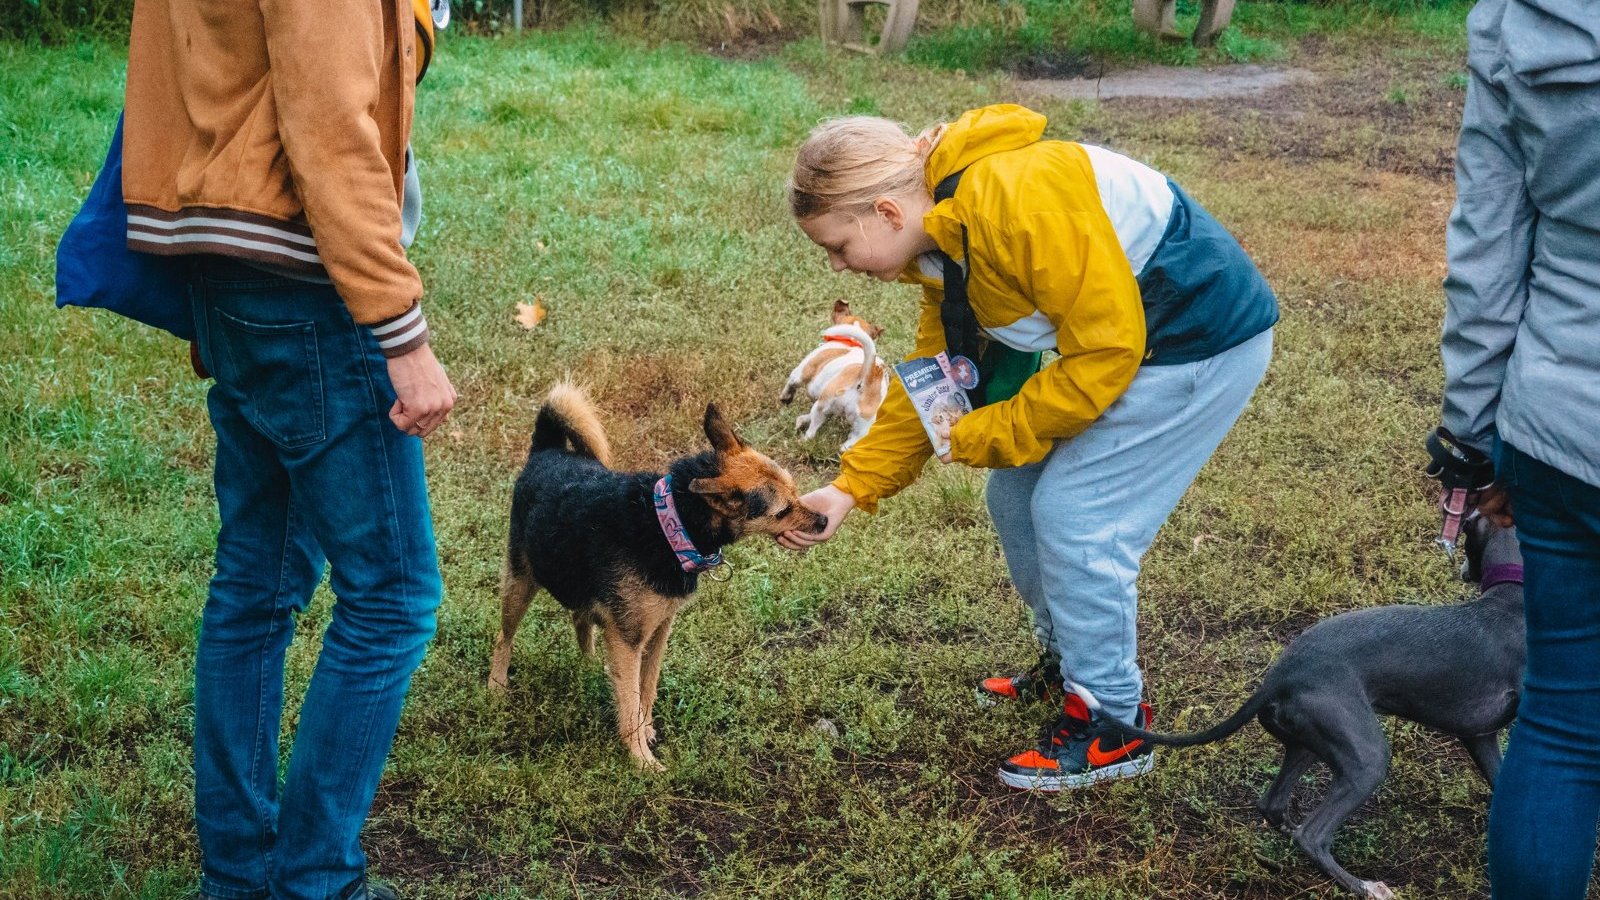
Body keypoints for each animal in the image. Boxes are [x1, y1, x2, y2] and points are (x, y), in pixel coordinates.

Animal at [489, 381, 832, 768]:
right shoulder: (627, 640)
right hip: (520, 583)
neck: (669, 523)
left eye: (795, 491)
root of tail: (546, 449)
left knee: (579, 618)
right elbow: (631, 701)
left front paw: (648, 731)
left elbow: (647, 688)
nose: (824, 520)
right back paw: (496, 686)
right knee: (504, 637)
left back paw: (589, 667)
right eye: (783, 511)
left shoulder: (659, 630)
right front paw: (641, 760)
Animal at [780, 299, 896, 451]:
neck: (851, 340)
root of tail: (870, 377)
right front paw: (801, 419)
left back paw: (802, 441)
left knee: (813, 429)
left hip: (823, 404)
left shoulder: (800, 373)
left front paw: (785, 398)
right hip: (860, 431)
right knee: (846, 445)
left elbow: (792, 383)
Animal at [1126, 512, 1523, 896]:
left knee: (1274, 805)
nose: (1461, 568)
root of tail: (1279, 675)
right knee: (1313, 835)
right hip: (1366, 757)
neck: (1511, 600)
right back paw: (1364, 886)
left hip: (1309, 741)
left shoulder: (1480, 736)